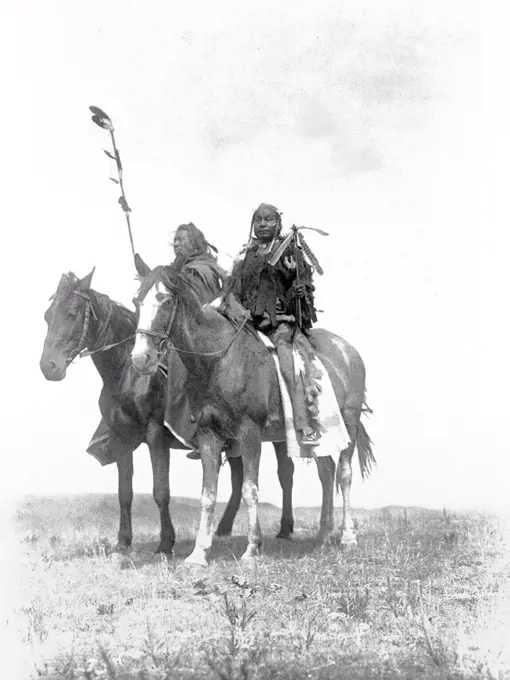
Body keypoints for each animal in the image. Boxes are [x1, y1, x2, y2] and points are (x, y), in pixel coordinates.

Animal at [40, 266, 302, 552]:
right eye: (47, 316)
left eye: (71, 314)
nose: (48, 367)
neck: (127, 374)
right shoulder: (121, 438)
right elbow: (124, 492)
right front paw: (123, 541)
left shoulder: (156, 436)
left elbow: (161, 490)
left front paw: (166, 542)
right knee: (239, 478)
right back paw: (223, 529)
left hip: (275, 434)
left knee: (286, 475)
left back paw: (285, 528)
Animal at [129, 262, 372, 564]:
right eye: (136, 301)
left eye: (165, 300)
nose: (141, 359)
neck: (218, 359)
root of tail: (348, 351)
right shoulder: (209, 436)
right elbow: (208, 494)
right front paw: (199, 554)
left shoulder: (250, 433)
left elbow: (249, 489)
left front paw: (252, 549)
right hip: (321, 436)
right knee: (326, 474)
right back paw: (323, 537)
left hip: (349, 423)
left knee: (344, 475)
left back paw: (347, 537)